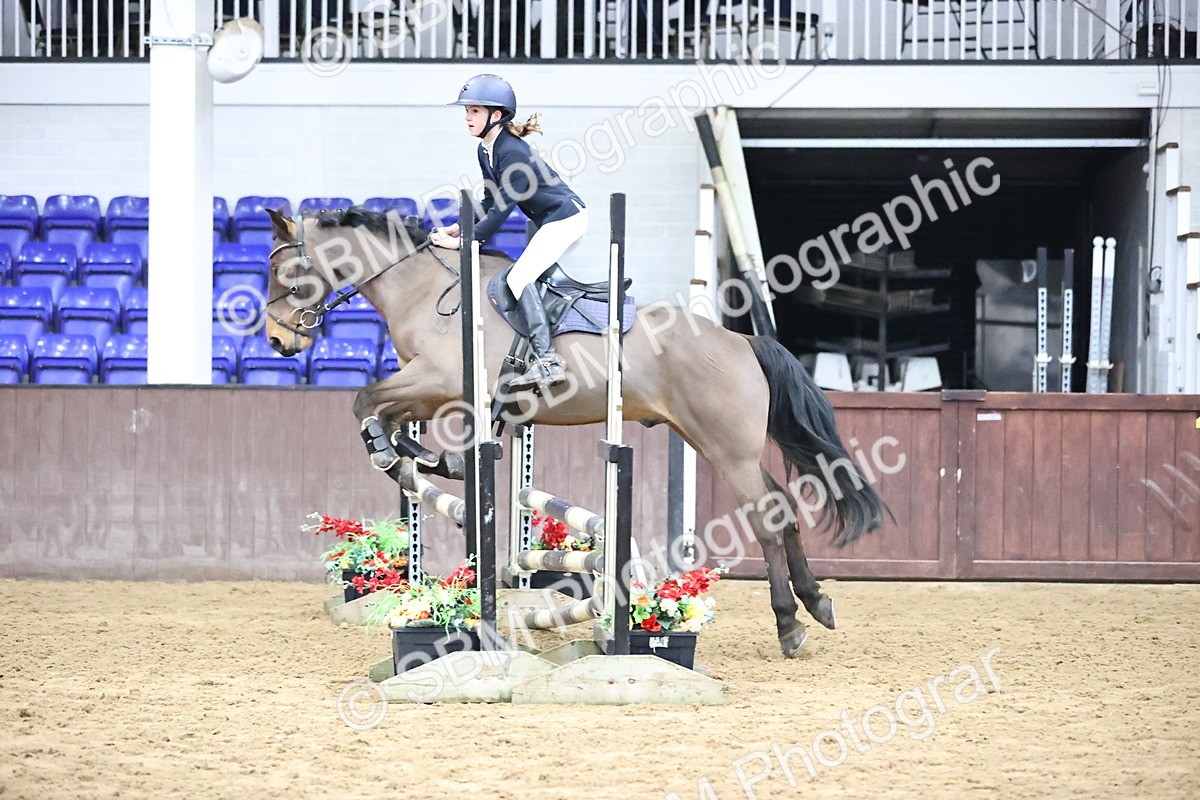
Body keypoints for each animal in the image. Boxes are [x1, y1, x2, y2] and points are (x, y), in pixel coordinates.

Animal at [261, 206, 888, 657]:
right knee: (783, 507)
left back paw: (789, 626)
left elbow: (365, 400)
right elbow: (382, 411)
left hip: (726, 449)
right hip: (716, 443)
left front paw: (400, 455)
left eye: (282, 272)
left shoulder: (438, 380)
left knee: (767, 519)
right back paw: (817, 604)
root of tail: (742, 341)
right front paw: (419, 457)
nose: (277, 342)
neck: (424, 290)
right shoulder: (431, 388)